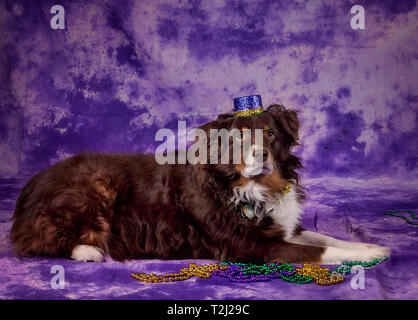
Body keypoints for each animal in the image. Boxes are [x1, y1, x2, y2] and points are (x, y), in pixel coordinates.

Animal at [9, 104, 388, 262]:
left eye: (270, 133)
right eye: (237, 138)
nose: (262, 154)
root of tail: (31, 185)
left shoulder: (282, 228)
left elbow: (325, 238)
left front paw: (369, 247)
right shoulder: (252, 246)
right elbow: (319, 250)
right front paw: (365, 259)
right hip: (93, 187)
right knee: (39, 240)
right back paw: (87, 251)